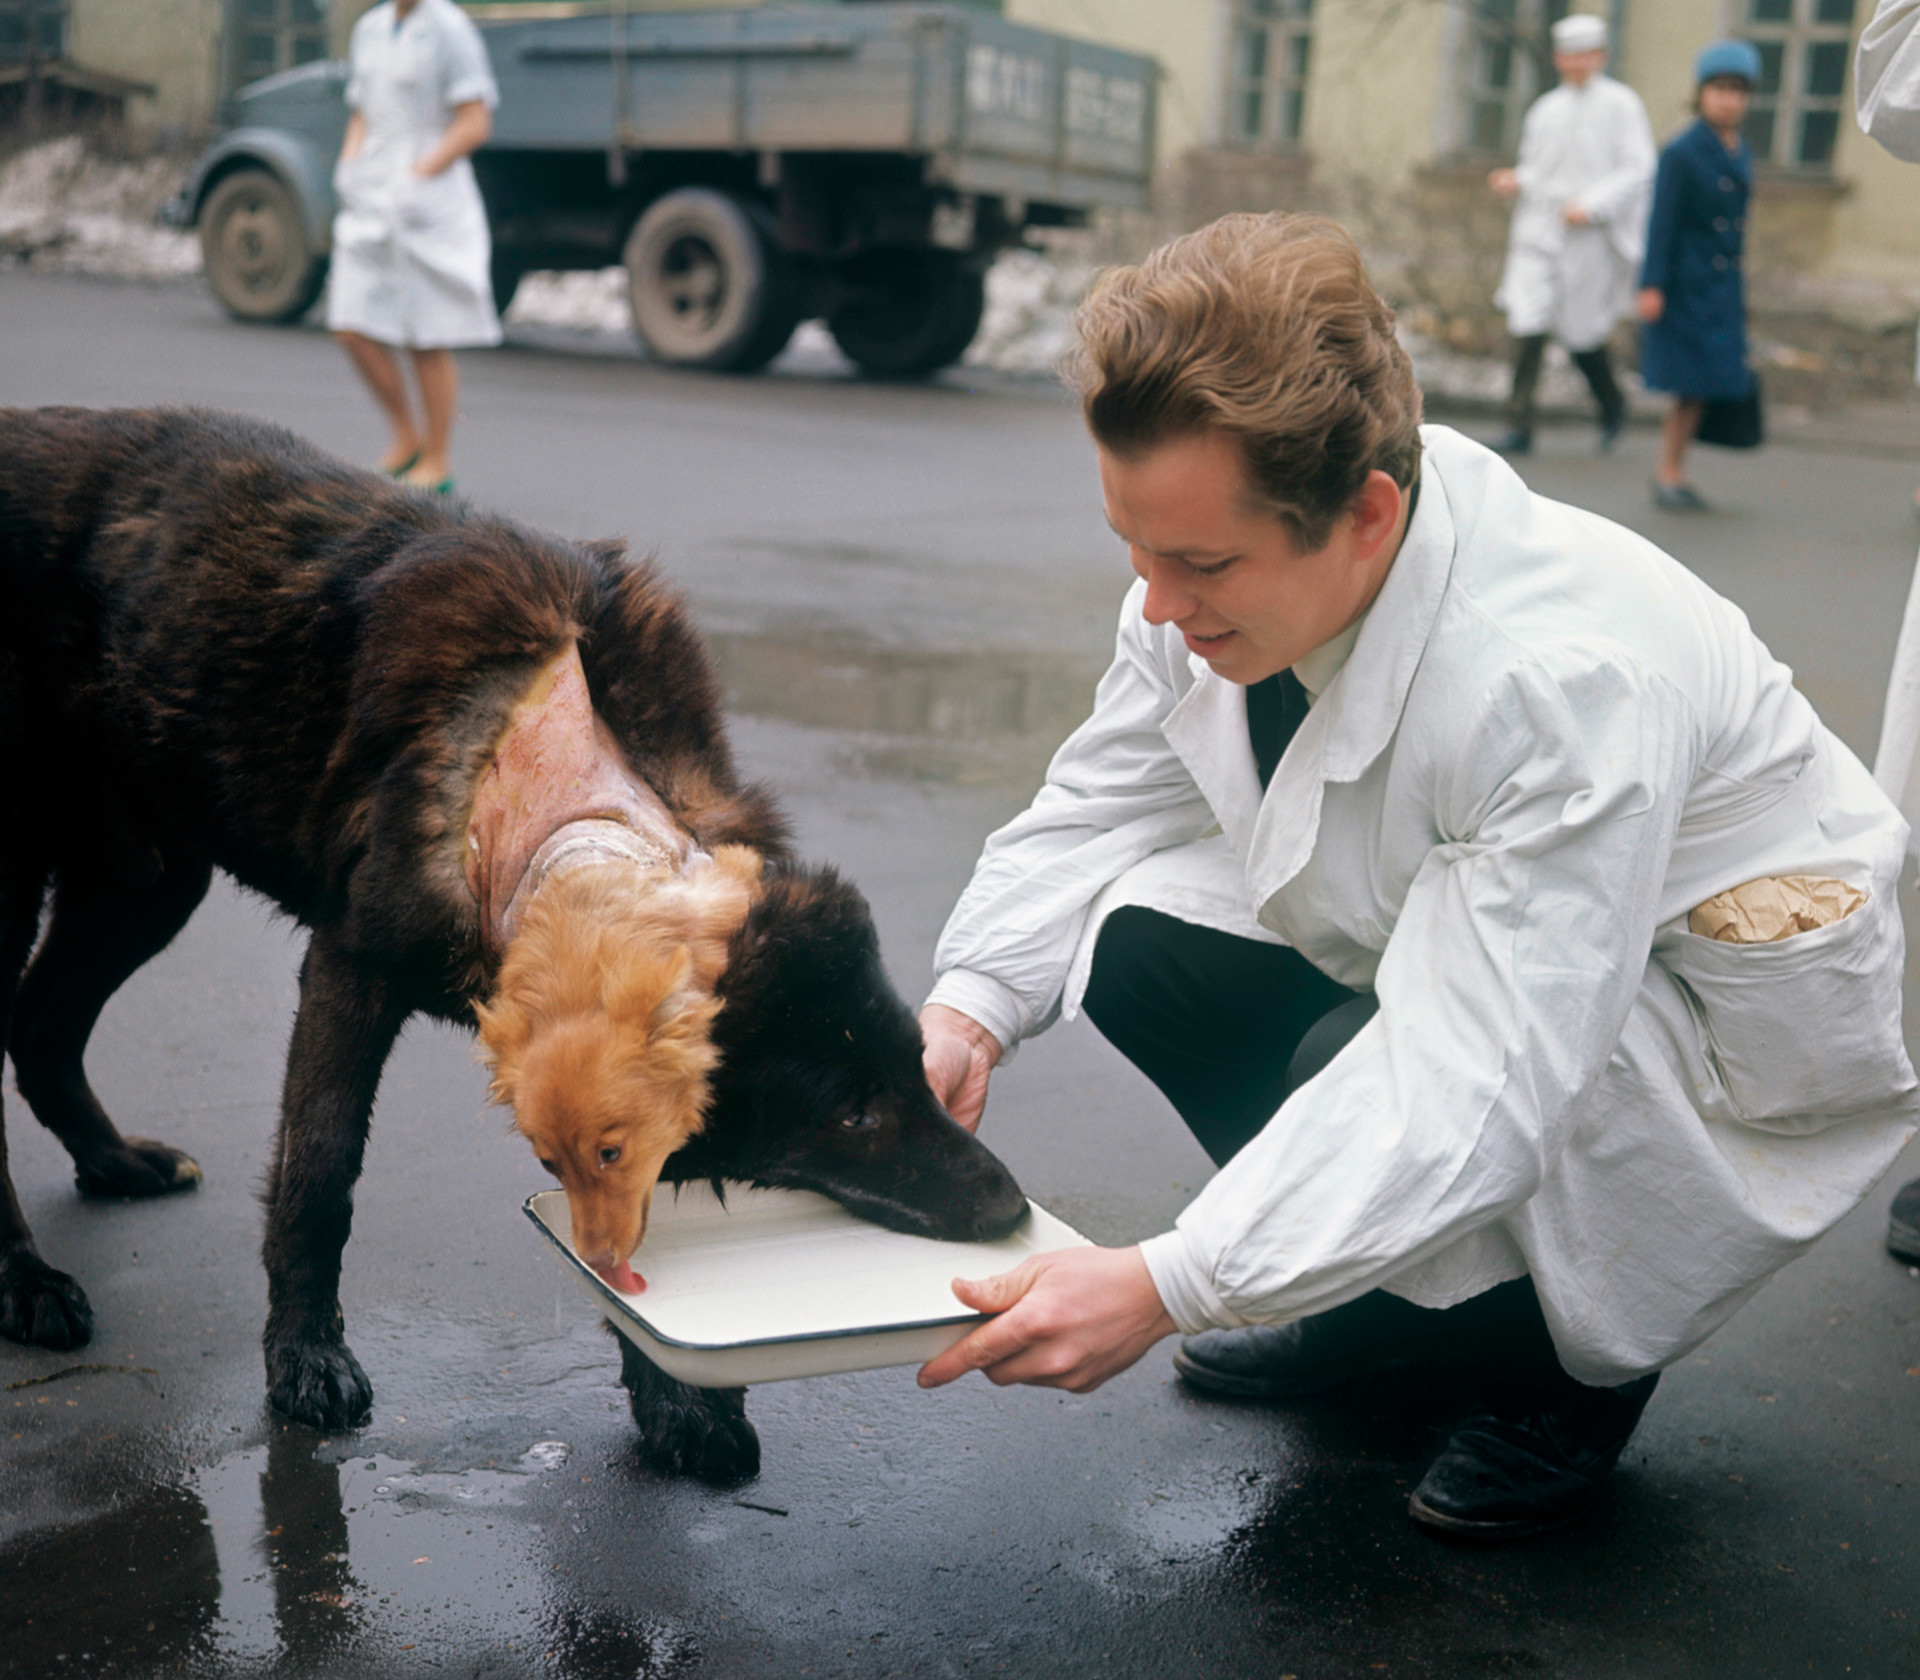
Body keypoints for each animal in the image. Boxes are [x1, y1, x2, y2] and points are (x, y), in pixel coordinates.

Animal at [0, 410, 1029, 1482]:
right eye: (851, 1116)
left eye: (918, 1067)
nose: (1013, 1212)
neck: (554, 794)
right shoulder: (350, 970)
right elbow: (320, 1180)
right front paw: (305, 1360)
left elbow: (617, 1231)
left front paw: (676, 1393)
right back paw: (28, 1280)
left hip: (146, 881)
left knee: (42, 1025)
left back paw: (112, 1161)